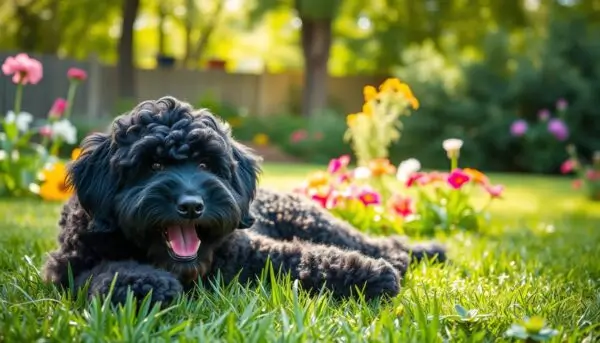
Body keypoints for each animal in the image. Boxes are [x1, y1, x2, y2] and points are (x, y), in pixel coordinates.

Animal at [41, 96, 446, 306]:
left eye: (205, 164)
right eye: (151, 165)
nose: (192, 205)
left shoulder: (253, 250)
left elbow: (305, 256)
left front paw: (368, 274)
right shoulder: (68, 265)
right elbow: (105, 270)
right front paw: (143, 283)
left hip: (319, 222)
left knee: (369, 240)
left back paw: (411, 254)